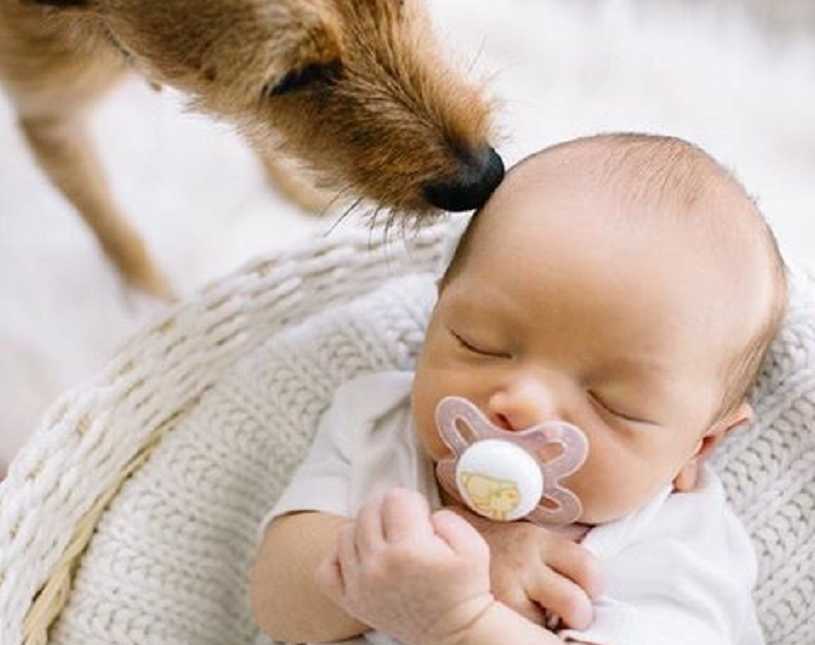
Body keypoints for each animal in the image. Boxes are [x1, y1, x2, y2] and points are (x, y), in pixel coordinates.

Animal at [0, 0, 506, 300]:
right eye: (289, 78)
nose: (485, 177)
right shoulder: (49, 117)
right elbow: (108, 220)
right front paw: (151, 298)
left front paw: (296, 186)